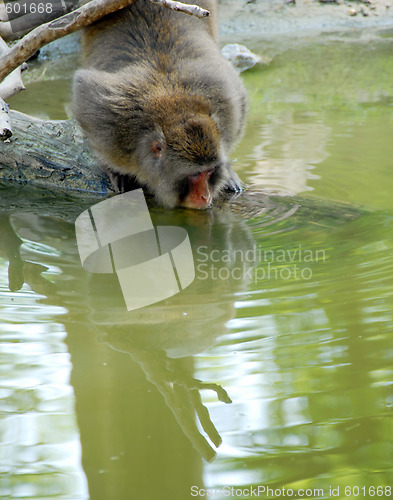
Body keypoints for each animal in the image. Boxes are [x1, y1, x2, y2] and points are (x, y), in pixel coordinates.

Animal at [72, 0, 247, 209]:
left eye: (210, 171)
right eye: (196, 174)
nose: (205, 195)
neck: (174, 108)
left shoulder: (227, 102)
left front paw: (228, 174)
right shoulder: (111, 124)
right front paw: (115, 171)